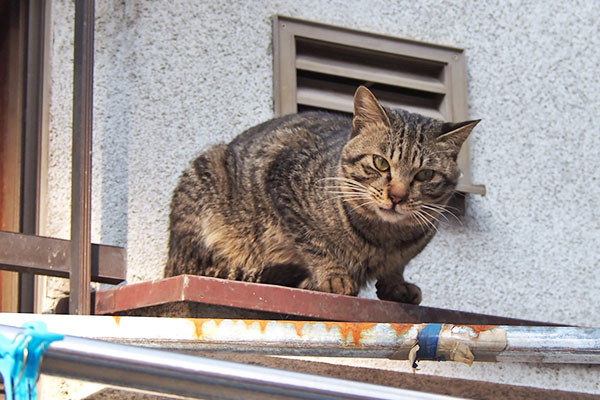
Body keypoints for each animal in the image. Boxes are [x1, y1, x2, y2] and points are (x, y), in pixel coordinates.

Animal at [164, 85, 478, 304]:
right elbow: (314, 243)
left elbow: (396, 266)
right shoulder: (282, 177)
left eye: (424, 175)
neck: (382, 238)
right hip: (205, 181)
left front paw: (396, 285)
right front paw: (333, 275)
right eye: (380, 163)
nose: (397, 196)